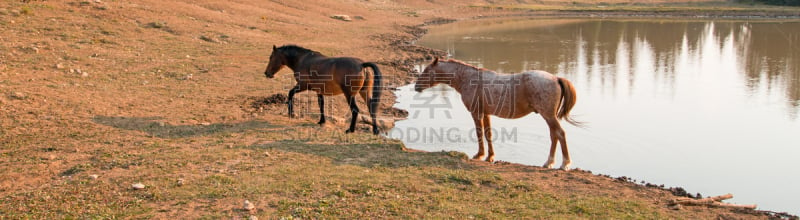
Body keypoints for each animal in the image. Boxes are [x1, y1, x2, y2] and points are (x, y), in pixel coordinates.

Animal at [416, 58, 580, 170]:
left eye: (427, 70)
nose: (416, 86)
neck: (468, 78)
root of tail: (556, 78)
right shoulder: (486, 114)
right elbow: (488, 133)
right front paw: (490, 156)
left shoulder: (476, 113)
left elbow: (479, 133)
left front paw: (480, 155)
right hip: (549, 116)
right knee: (554, 136)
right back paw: (549, 162)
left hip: (548, 116)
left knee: (560, 134)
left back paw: (564, 164)